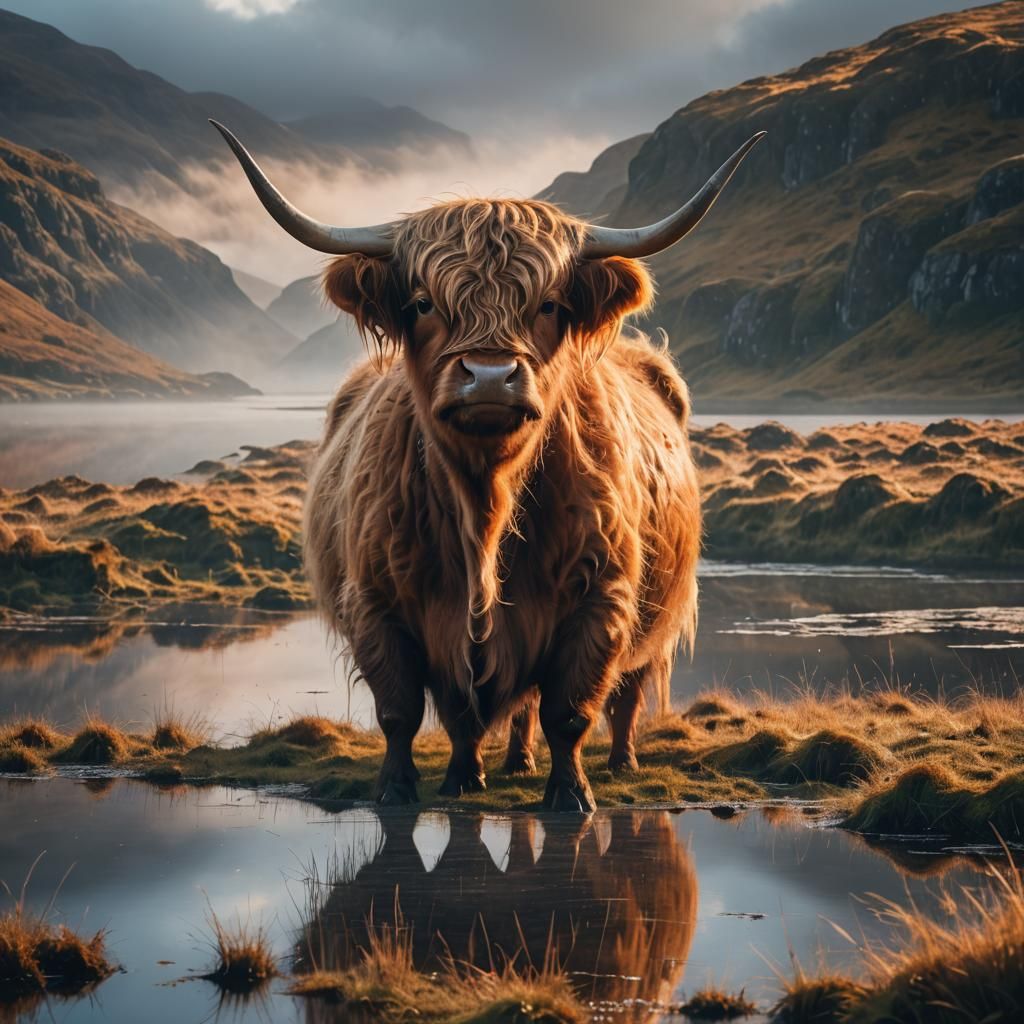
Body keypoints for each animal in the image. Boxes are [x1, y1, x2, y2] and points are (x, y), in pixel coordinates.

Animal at [212, 120, 764, 811]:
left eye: (549, 304)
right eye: (423, 302)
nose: (492, 376)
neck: (484, 505)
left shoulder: (601, 602)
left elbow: (571, 710)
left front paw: (571, 795)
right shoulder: (379, 605)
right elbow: (407, 711)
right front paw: (417, 785)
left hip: (654, 615)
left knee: (625, 695)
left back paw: (622, 763)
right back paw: (505, 765)